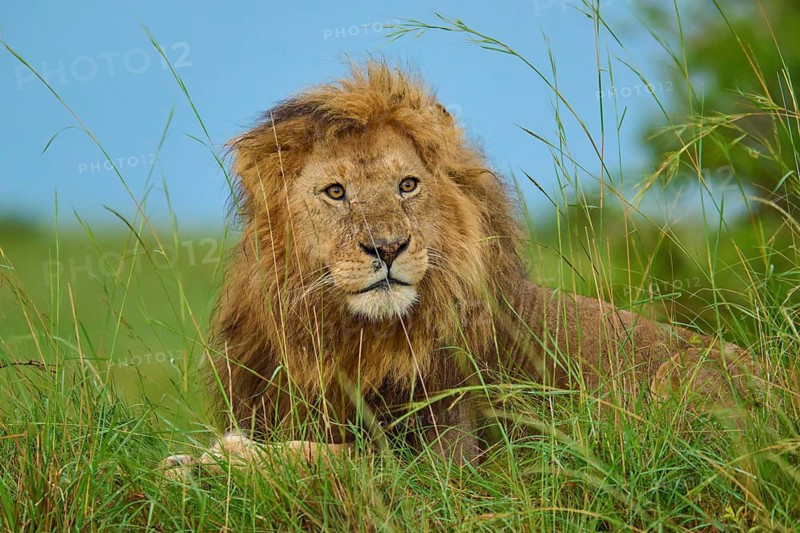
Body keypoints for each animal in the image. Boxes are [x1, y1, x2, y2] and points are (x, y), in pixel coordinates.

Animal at [162, 62, 760, 476]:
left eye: (408, 185)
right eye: (335, 192)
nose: (388, 247)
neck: (347, 337)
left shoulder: (450, 460)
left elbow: (345, 456)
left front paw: (221, 460)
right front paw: (196, 460)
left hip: (681, 375)